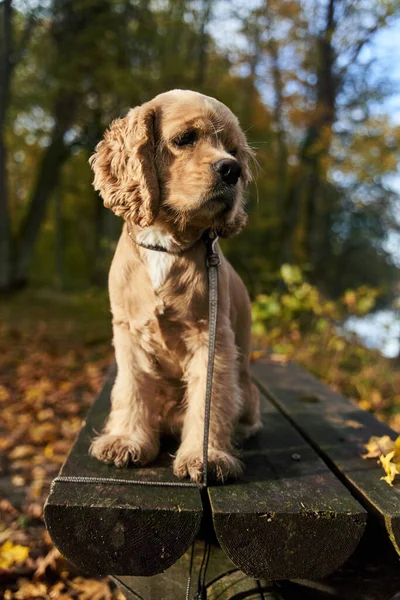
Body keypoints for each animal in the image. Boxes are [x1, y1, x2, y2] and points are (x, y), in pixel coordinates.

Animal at [88, 89, 260, 482]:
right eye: (185, 139)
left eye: (234, 150)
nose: (232, 169)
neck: (165, 242)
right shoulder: (129, 333)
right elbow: (132, 388)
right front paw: (126, 440)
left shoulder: (211, 337)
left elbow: (210, 399)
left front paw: (206, 456)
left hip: (246, 388)